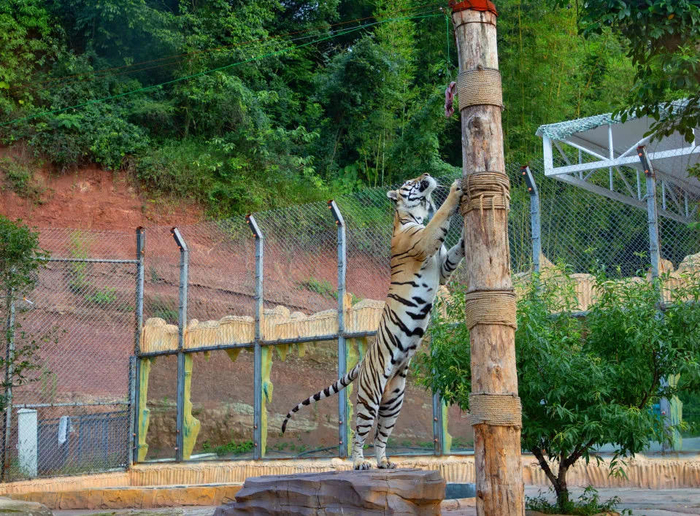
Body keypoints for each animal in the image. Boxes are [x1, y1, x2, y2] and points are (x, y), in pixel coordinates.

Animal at [281, 173, 465, 470]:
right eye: (411, 180)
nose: (426, 175)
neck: (412, 216)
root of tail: (364, 361)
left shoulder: (445, 266)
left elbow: (457, 250)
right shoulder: (424, 242)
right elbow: (442, 216)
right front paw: (455, 189)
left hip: (394, 399)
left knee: (381, 434)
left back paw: (384, 462)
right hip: (370, 394)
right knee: (359, 432)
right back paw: (360, 463)